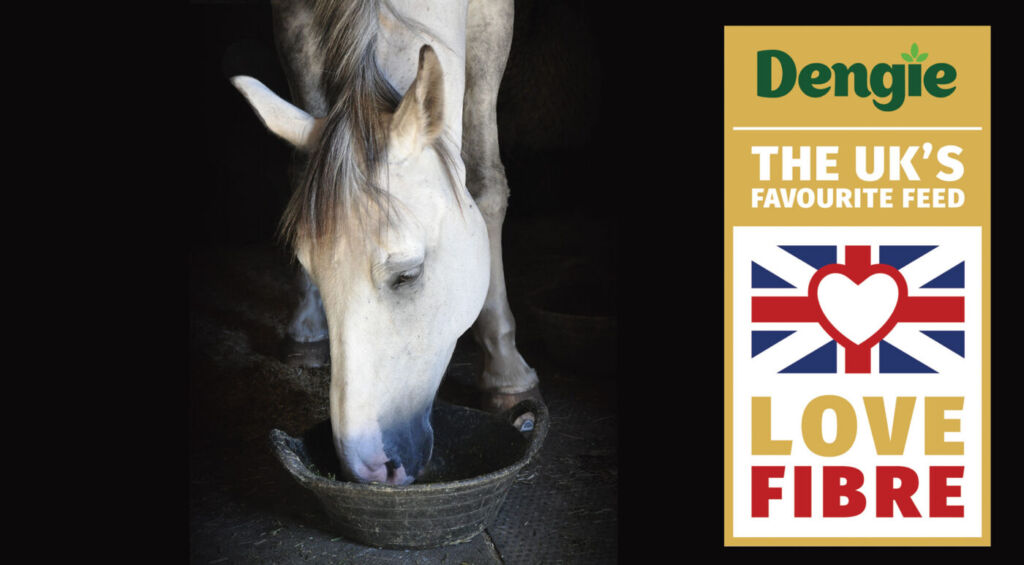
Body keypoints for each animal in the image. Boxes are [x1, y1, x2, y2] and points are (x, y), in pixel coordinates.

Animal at [230, 0, 541, 485]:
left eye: (407, 275)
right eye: (308, 266)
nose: (373, 468)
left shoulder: (493, 18)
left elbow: (485, 180)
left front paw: (507, 373)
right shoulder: (292, 17)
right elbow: (303, 171)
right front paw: (306, 324)